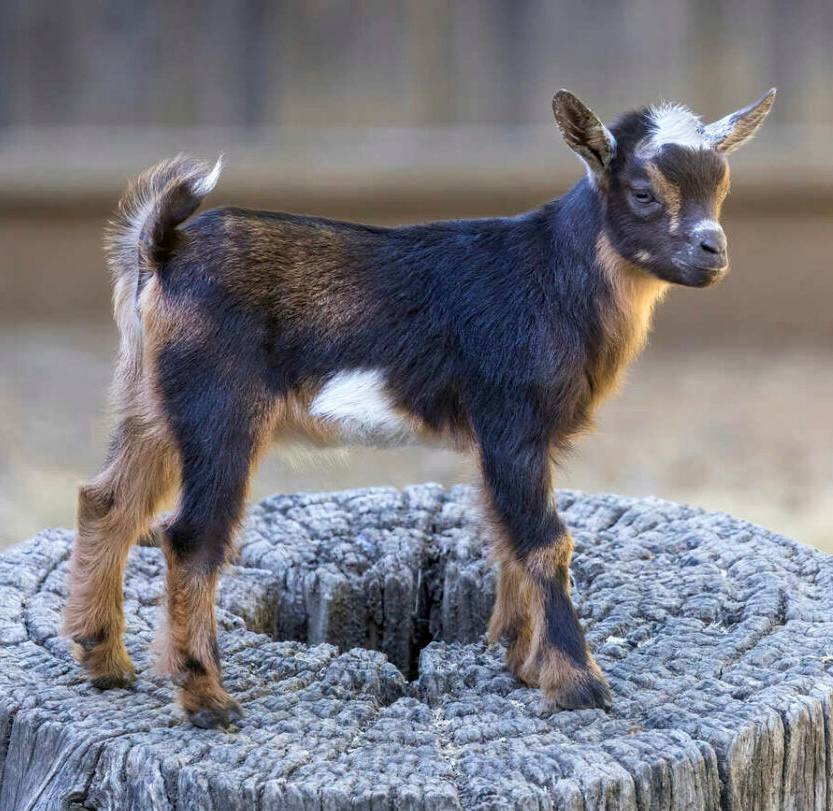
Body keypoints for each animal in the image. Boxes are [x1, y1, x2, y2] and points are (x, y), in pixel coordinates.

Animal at [64, 88, 775, 728]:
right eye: (643, 191)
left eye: (722, 187)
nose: (714, 251)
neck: (552, 277)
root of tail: (162, 247)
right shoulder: (512, 419)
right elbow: (546, 541)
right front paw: (578, 684)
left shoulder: (510, 439)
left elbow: (505, 534)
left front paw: (519, 659)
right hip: (218, 408)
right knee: (190, 536)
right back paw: (207, 699)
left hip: (151, 405)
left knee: (108, 501)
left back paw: (105, 662)